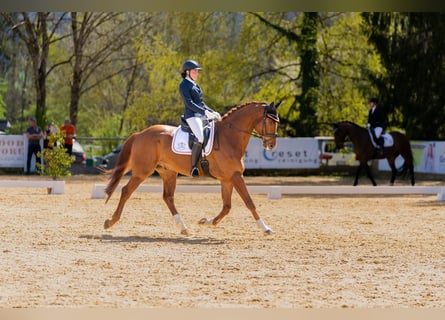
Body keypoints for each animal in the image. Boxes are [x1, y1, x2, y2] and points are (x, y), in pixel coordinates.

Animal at [102, 101, 280, 236]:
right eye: (271, 121)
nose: (271, 145)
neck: (230, 136)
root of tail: (140, 133)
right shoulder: (236, 176)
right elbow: (249, 202)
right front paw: (266, 228)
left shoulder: (228, 179)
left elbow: (227, 207)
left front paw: (206, 221)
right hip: (142, 171)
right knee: (126, 191)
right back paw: (110, 222)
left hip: (168, 172)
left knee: (168, 197)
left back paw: (183, 228)